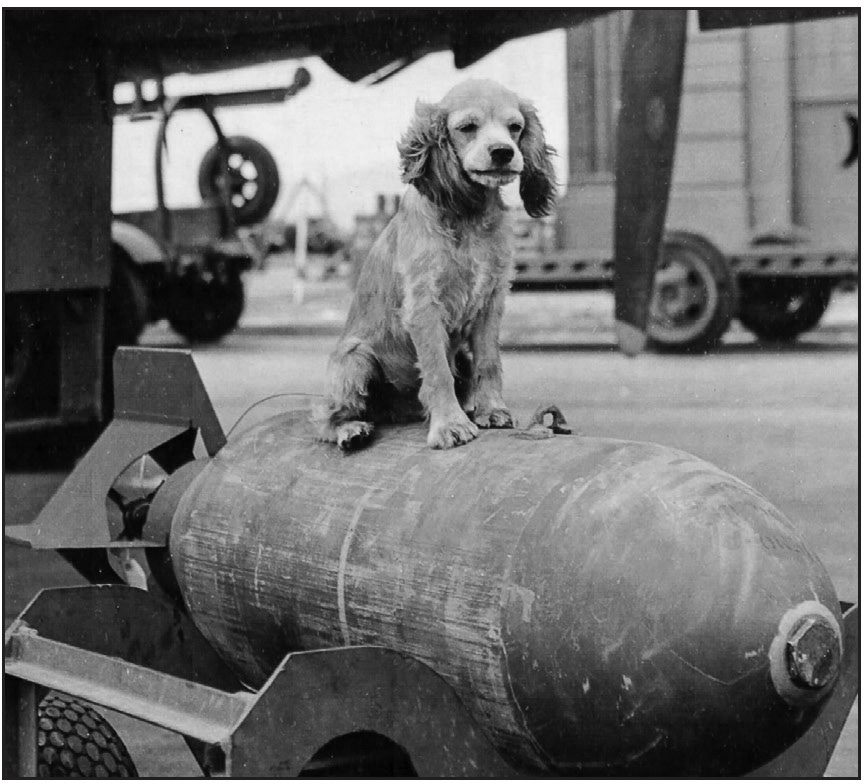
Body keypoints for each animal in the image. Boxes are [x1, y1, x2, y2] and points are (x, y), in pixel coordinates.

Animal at [320, 78, 556, 454]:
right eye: (467, 127)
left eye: (515, 127)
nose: (503, 152)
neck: (468, 215)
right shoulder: (424, 305)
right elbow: (437, 370)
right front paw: (450, 425)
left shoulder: (491, 300)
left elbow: (489, 360)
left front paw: (491, 410)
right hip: (354, 359)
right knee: (326, 417)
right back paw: (351, 430)